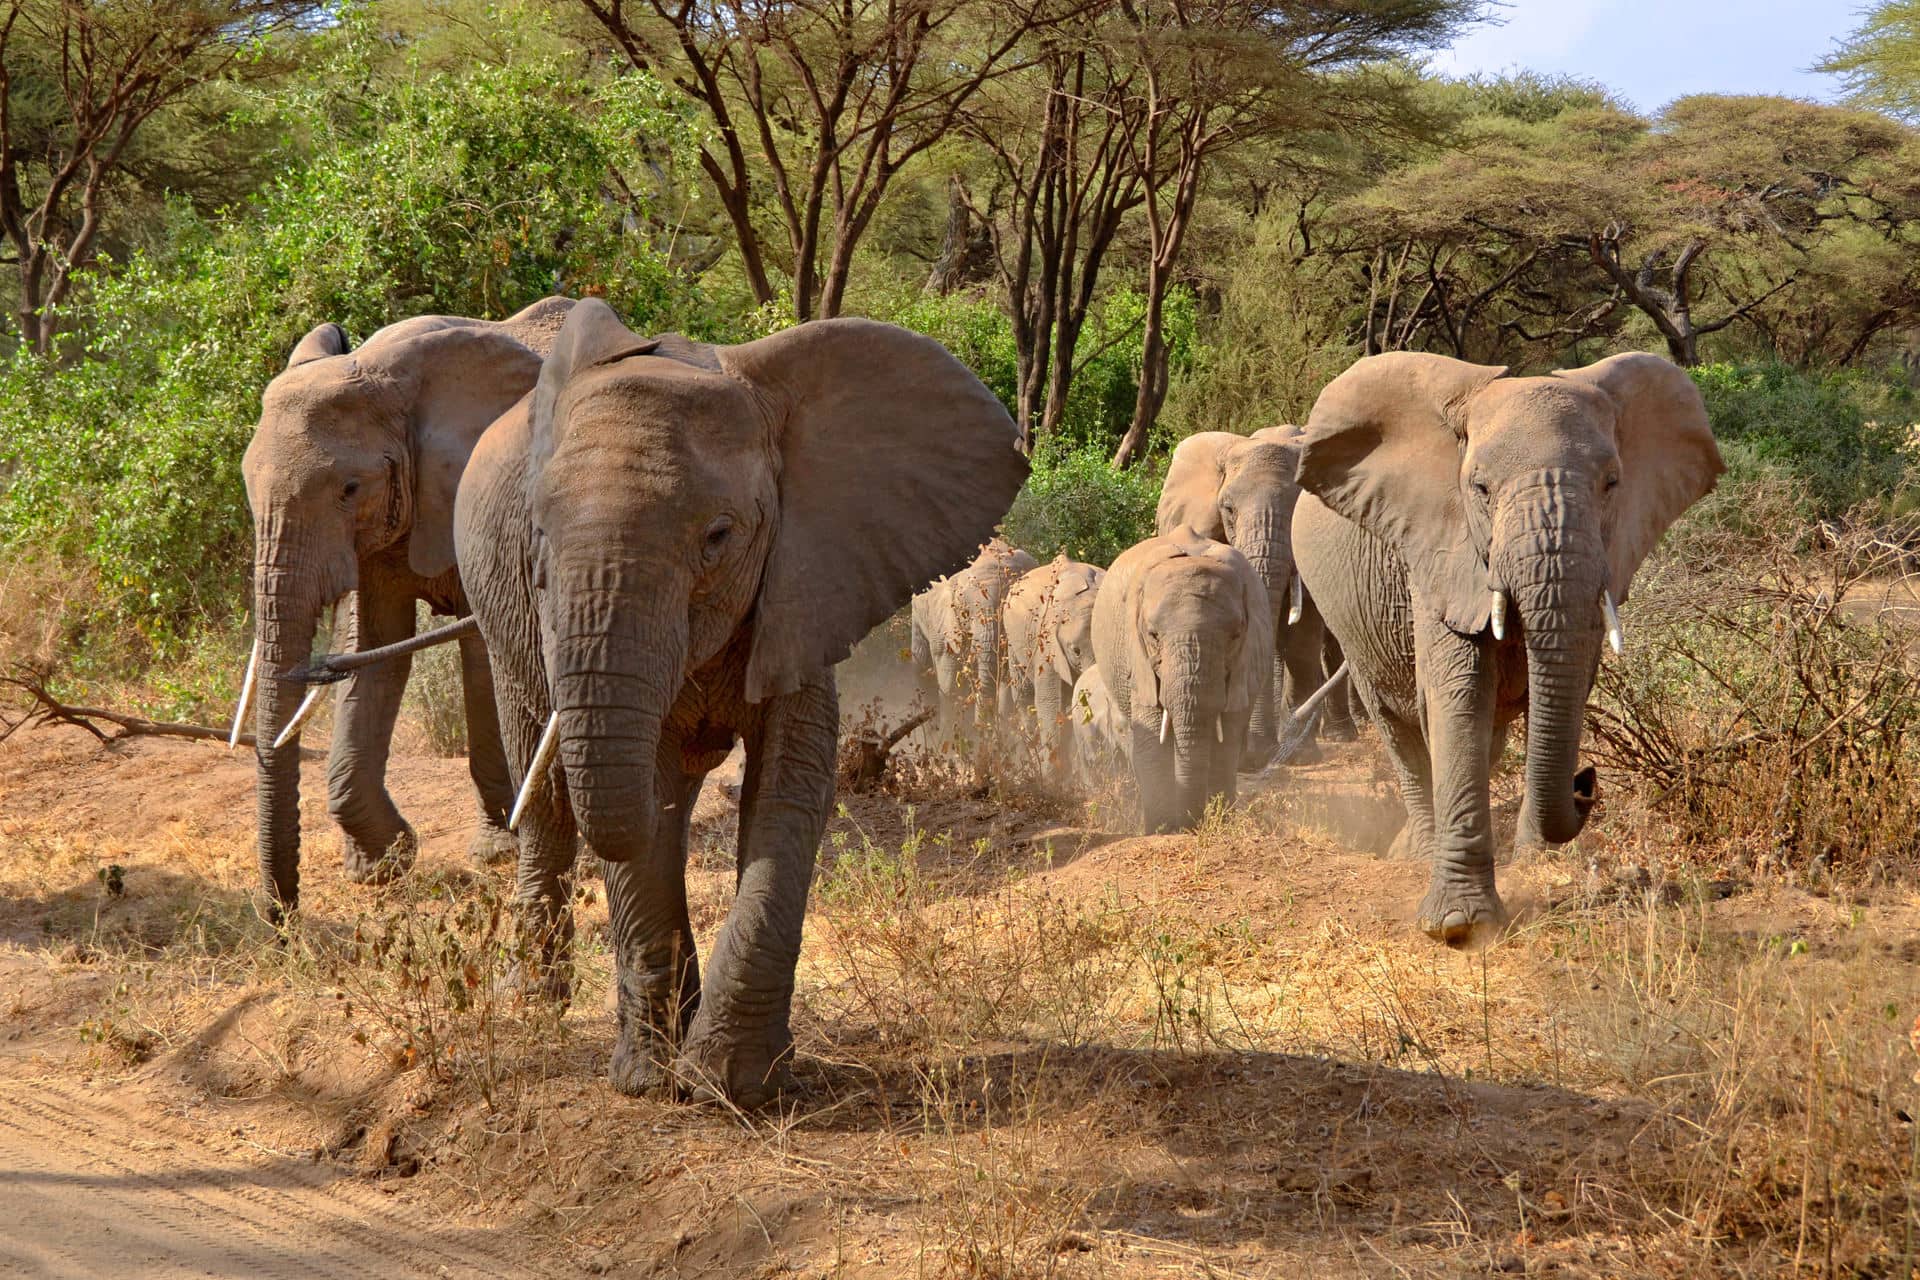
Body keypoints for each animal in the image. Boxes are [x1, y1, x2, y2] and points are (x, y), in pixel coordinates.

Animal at [239, 295, 575, 912]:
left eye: (349, 488)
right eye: (247, 486)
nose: (282, 920)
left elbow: (481, 645)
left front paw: (497, 852)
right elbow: (375, 646)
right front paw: (379, 866)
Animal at [1090, 527, 1273, 832]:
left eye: (1235, 635)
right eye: (1153, 635)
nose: (1192, 825)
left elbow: (1225, 742)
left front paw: (1218, 824)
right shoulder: (1139, 659)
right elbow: (1152, 741)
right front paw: (1161, 830)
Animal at [1155, 425, 1352, 768]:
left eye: (1299, 512)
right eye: (1228, 510)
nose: (1255, 756)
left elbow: (1301, 638)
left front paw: (1299, 755)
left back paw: (1338, 734)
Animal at [1291, 351, 1723, 947]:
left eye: (1612, 483)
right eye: (1480, 489)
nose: (1586, 782)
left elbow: (1566, 686)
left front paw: (1535, 861)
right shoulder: (1438, 555)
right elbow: (1458, 696)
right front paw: (1458, 926)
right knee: (1397, 728)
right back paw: (1415, 851)